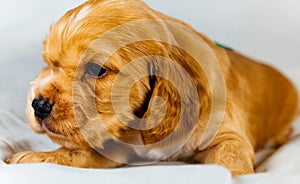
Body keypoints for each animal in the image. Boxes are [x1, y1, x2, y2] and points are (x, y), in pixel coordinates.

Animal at [7, 0, 298, 176]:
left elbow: (231, 158)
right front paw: (32, 156)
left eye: (98, 69)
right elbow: (79, 155)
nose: (38, 104)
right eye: (48, 64)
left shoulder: (226, 133)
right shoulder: (117, 146)